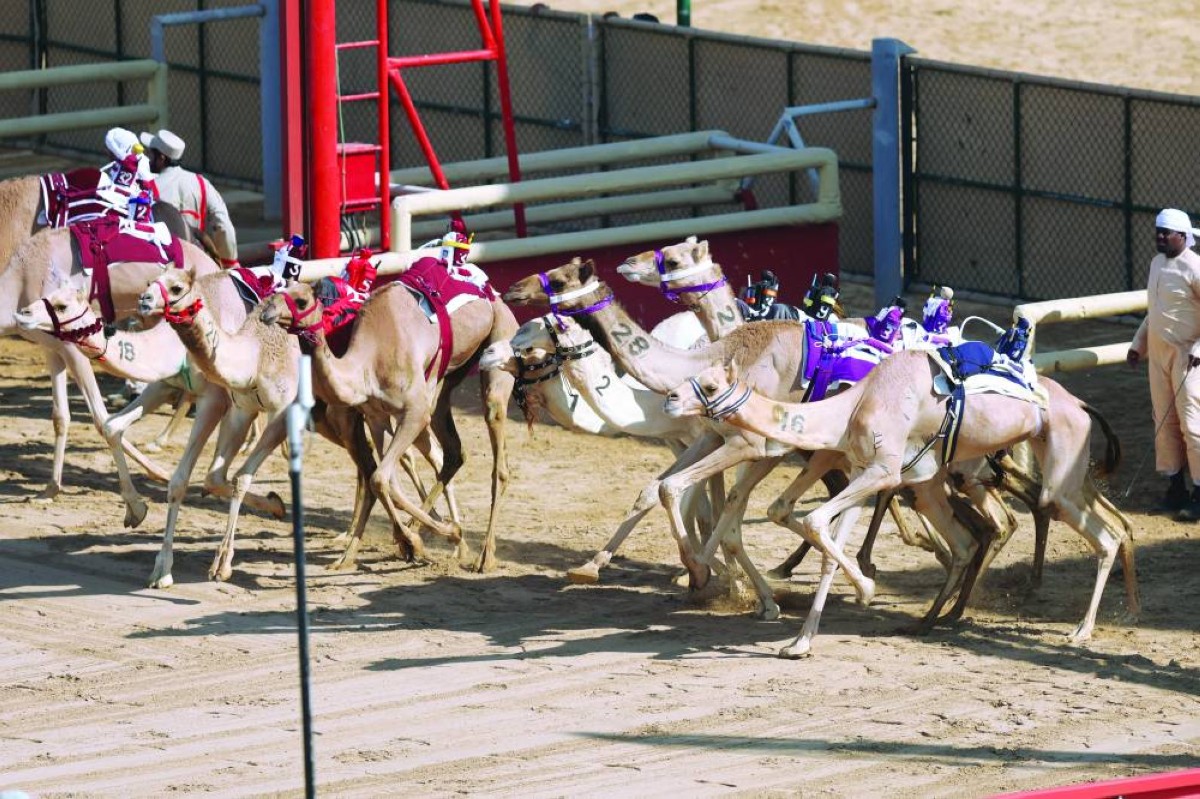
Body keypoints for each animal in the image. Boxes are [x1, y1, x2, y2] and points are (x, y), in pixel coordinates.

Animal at [260, 275, 518, 573]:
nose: (267, 312)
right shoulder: (376, 416)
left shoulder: (413, 411)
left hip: (499, 342)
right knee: (452, 451)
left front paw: (437, 535)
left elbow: (380, 477)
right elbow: (384, 480)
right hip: (450, 377)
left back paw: (484, 556)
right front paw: (414, 541)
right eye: (280, 290)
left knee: (497, 455)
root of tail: (494, 295)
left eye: (301, 300)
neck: (366, 364)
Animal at [662, 357, 1137, 657]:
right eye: (695, 375)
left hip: (1055, 468)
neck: (853, 404)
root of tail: (1080, 404)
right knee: (972, 541)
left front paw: (866, 590)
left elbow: (814, 520)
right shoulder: (863, 470)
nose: (670, 398)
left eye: (709, 385)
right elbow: (821, 536)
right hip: (971, 479)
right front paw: (800, 642)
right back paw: (929, 621)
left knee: (1100, 533)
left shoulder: (882, 472)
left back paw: (1082, 630)